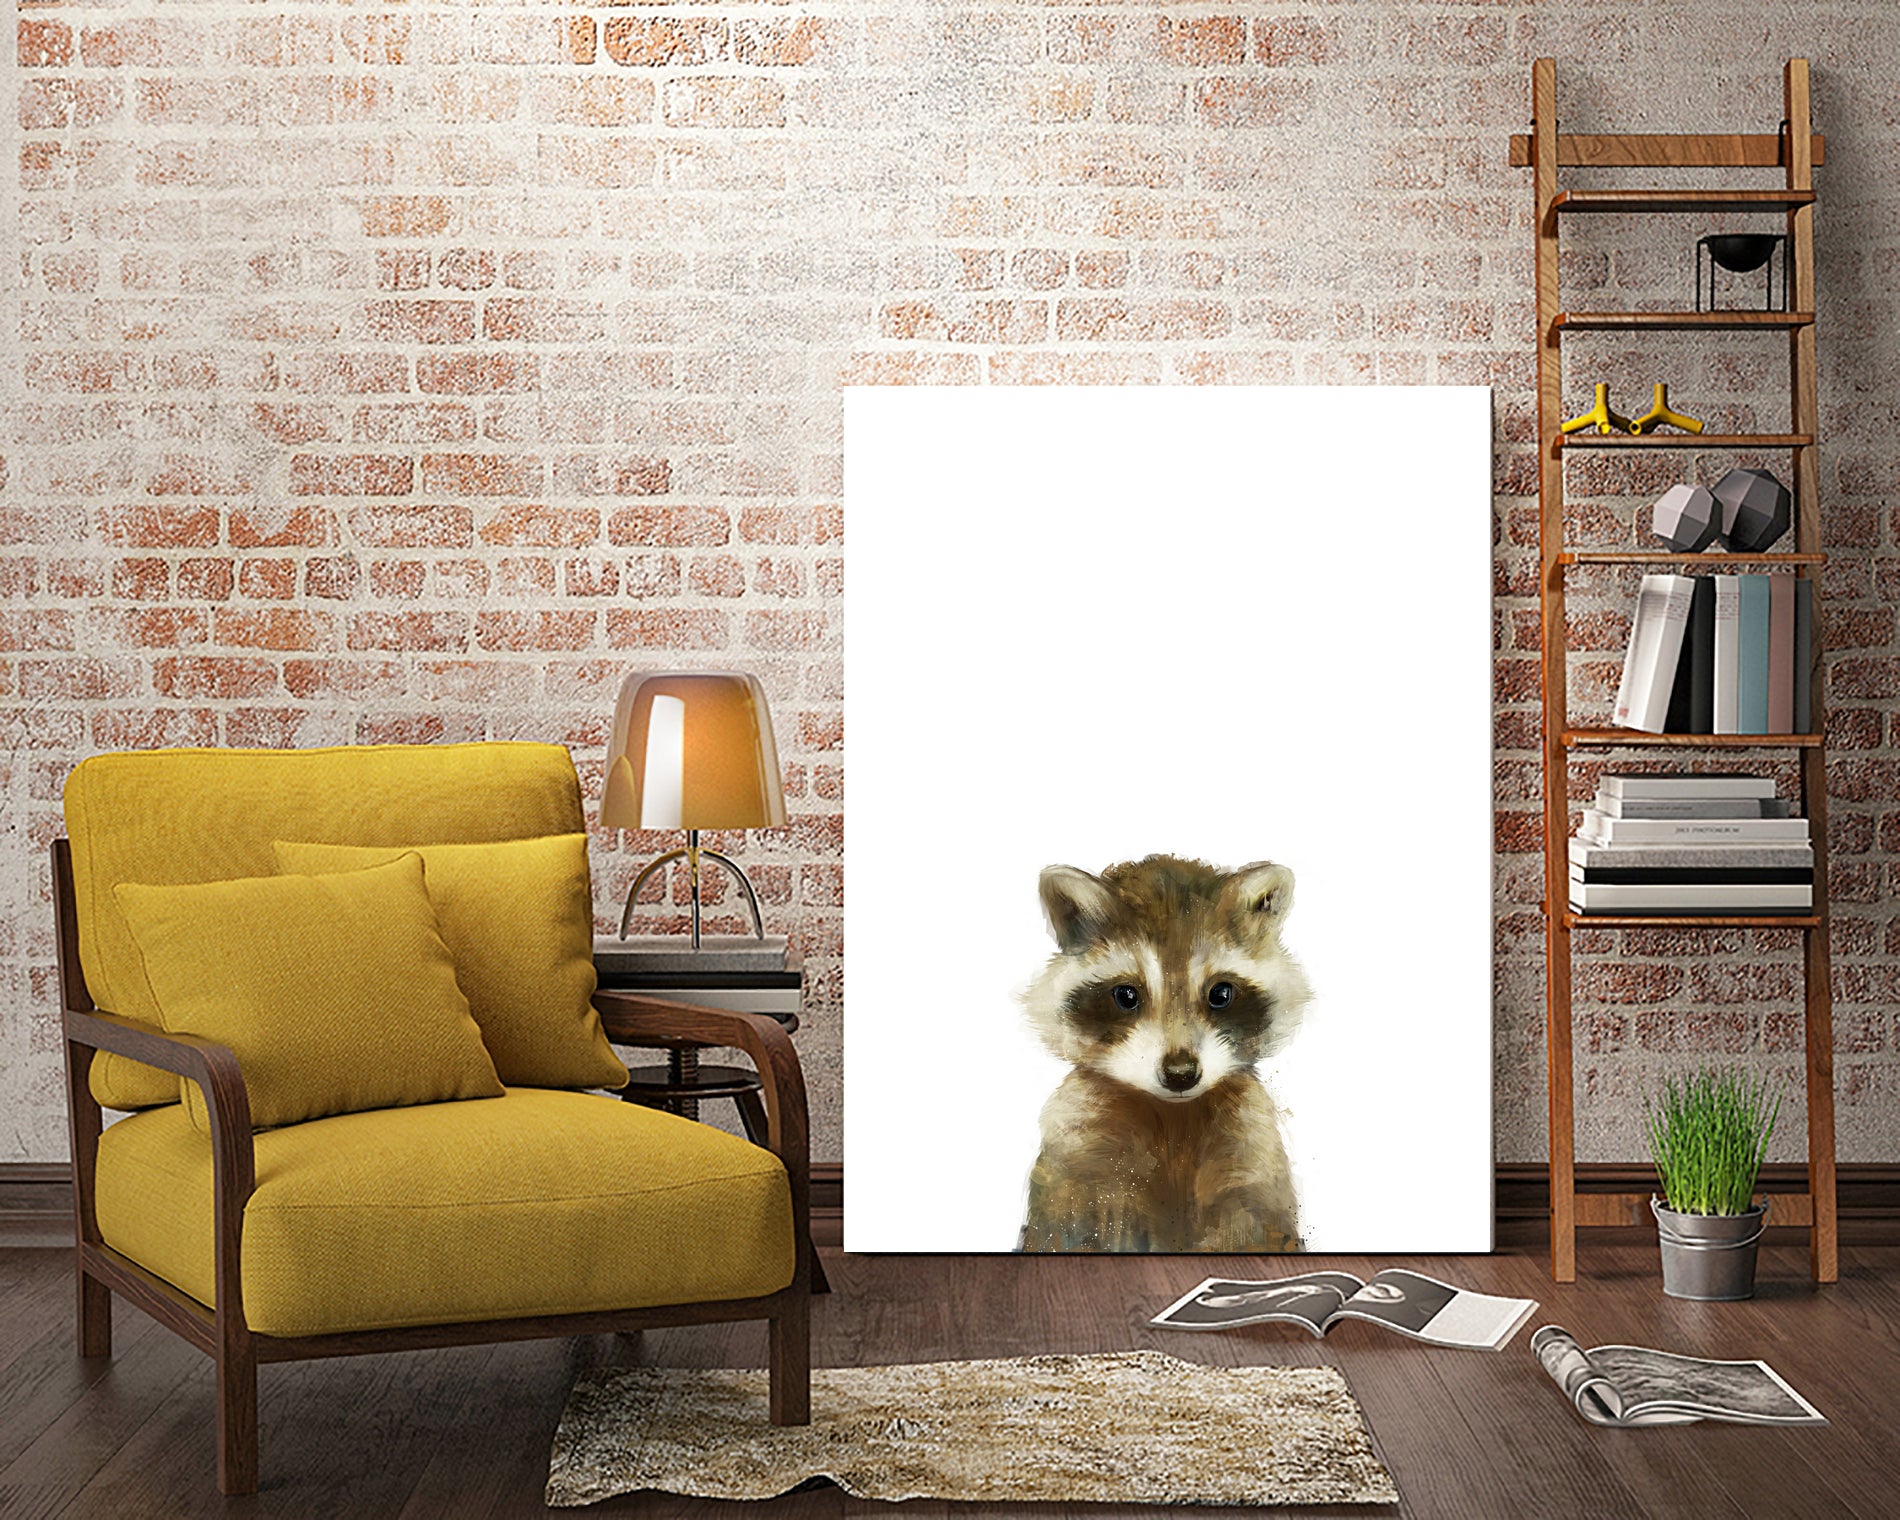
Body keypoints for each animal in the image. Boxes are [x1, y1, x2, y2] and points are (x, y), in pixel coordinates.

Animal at [1017, 854, 1312, 1253]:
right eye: (1126, 995)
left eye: (1221, 994)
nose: (1180, 1073)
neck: (1174, 1116)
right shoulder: (1078, 1153)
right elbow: (1069, 1228)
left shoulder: (1251, 1150)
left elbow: (1254, 1226)